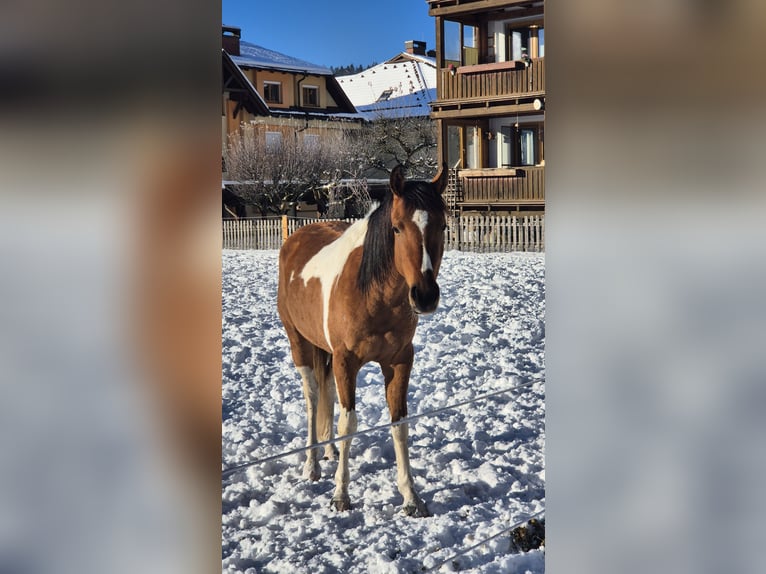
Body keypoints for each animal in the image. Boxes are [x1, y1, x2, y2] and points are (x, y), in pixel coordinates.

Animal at [277, 164, 448, 516]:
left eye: (443, 224)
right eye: (396, 228)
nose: (424, 296)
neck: (374, 293)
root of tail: (295, 238)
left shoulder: (399, 361)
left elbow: (399, 423)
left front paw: (411, 497)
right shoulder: (346, 361)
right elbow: (348, 424)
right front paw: (340, 495)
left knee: (327, 395)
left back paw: (327, 454)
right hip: (298, 343)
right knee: (313, 397)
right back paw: (312, 464)